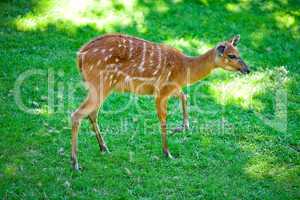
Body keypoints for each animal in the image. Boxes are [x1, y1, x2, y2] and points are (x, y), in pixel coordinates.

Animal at [70, 33, 248, 170]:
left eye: (239, 52)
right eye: (231, 55)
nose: (247, 69)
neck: (185, 69)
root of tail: (80, 56)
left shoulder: (171, 89)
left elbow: (185, 96)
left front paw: (183, 127)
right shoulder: (161, 92)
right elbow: (163, 119)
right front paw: (167, 153)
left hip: (102, 87)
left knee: (92, 113)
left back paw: (103, 148)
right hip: (101, 83)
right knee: (77, 114)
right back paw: (75, 163)